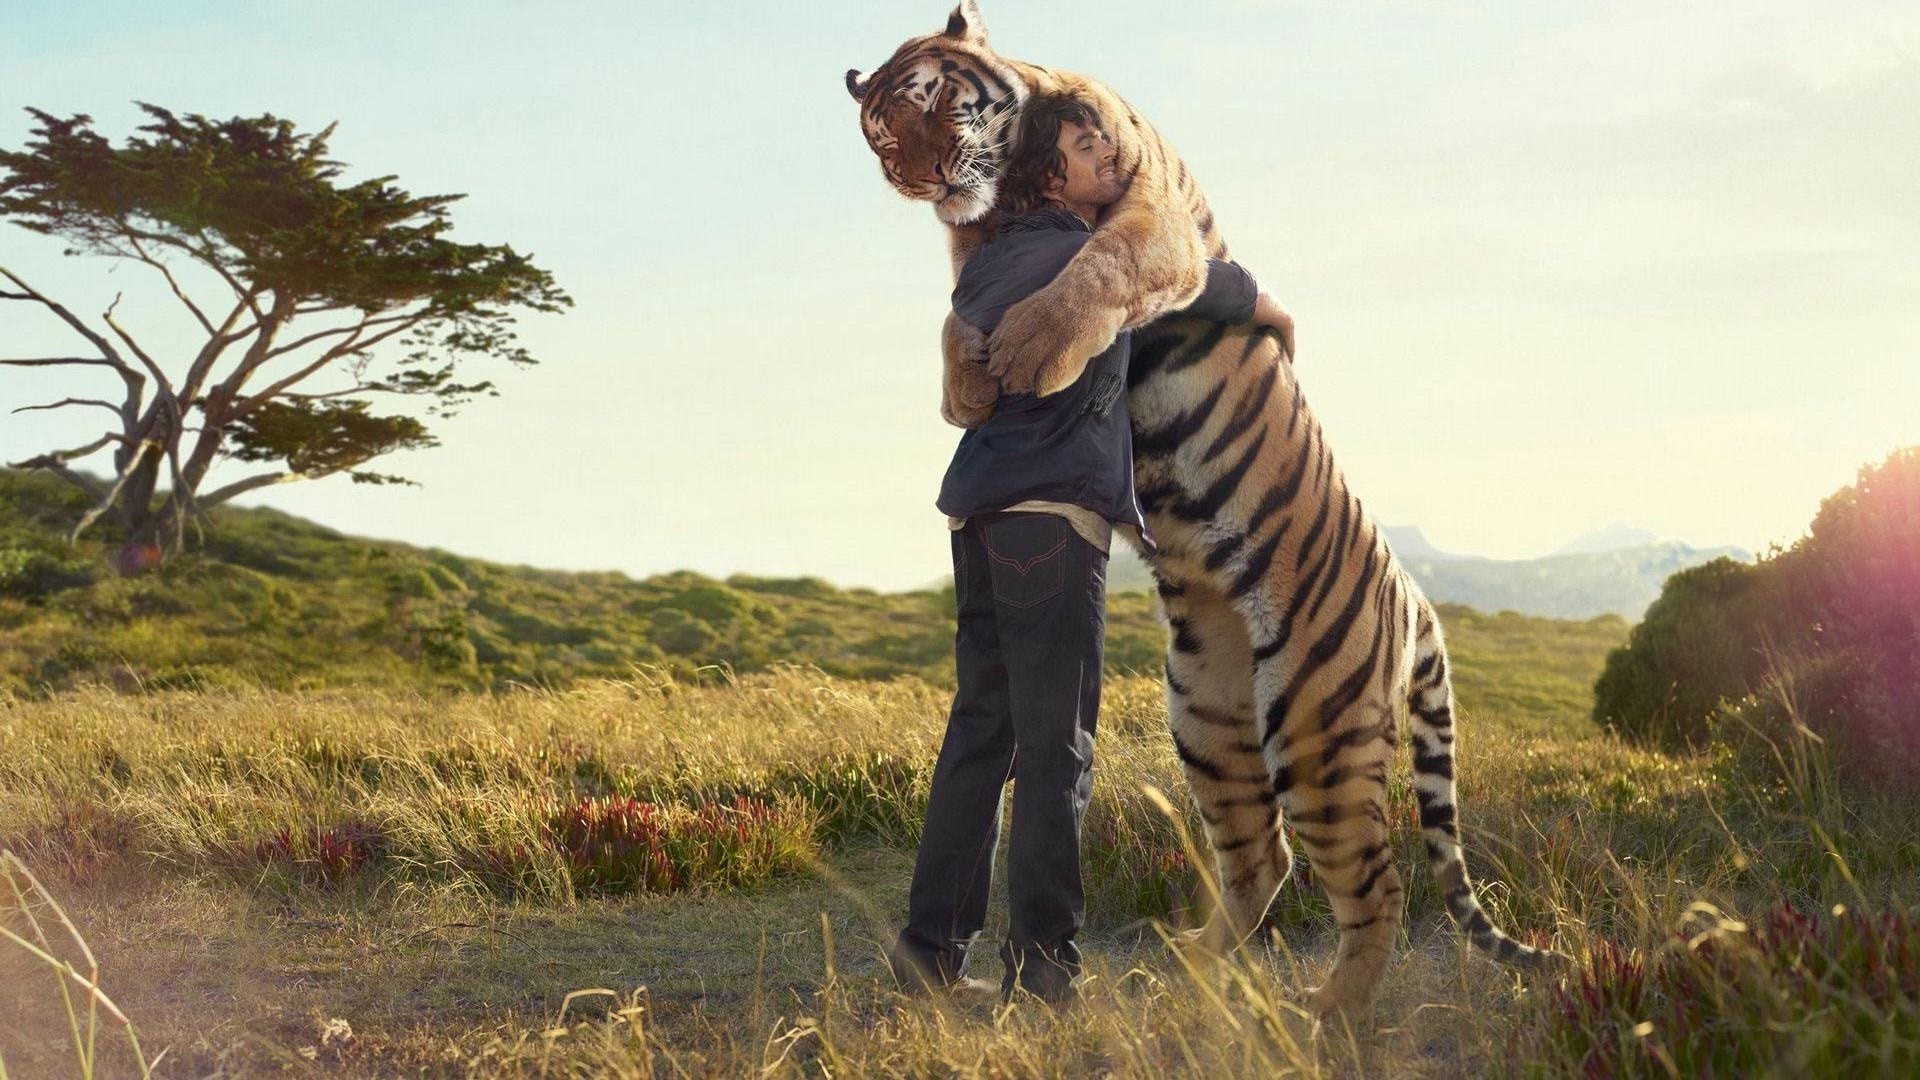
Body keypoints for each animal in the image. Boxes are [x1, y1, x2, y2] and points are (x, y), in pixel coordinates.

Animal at [848, 0, 1566, 1014]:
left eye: (932, 103)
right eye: (879, 139)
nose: (920, 178)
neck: (1012, 191)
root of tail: (1415, 595)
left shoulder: (1153, 220)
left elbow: (1098, 266)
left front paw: (1028, 352)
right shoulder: (973, 254)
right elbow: (958, 312)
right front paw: (968, 386)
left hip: (1314, 729)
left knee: (1375, 885)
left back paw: (1327, 1017)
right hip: (1210, 718)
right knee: (1265, 860)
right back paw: (1185, 973)